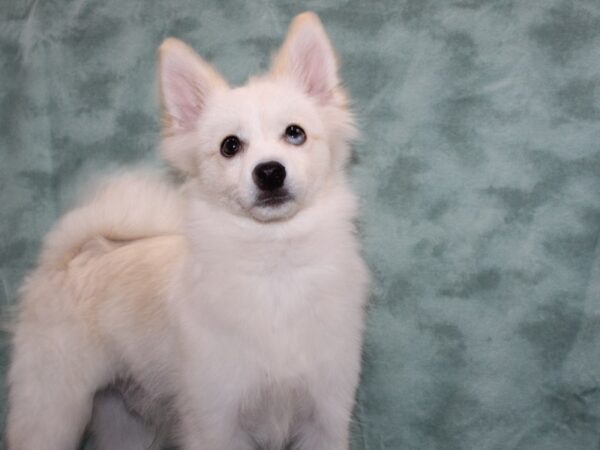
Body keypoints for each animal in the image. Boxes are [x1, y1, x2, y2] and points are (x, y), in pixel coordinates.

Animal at [7, 11, 368, 450]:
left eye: (295, 133)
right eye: (230, 146)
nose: (269, 171)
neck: (274, 265)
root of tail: (73, 256)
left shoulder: (325, 417)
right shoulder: (215, 421)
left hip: (122, 420)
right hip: (53, 413)